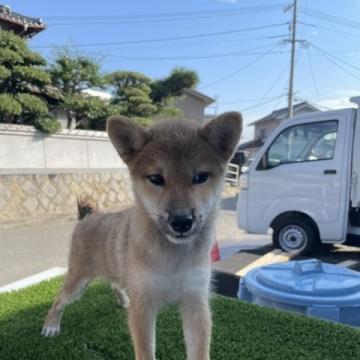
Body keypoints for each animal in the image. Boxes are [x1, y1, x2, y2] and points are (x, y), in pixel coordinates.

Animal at [41, 112, 242, 360]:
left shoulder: (196, 303)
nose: (181, 221)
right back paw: (51, 325)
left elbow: (200, 352)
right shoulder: (143, 308)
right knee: (59, 299)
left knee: (115, 284)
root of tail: (86, 218)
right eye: (156, 178)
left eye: (200, 177)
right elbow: (146, 352)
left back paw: (122, 299)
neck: (173, 258)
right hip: (78, 283)